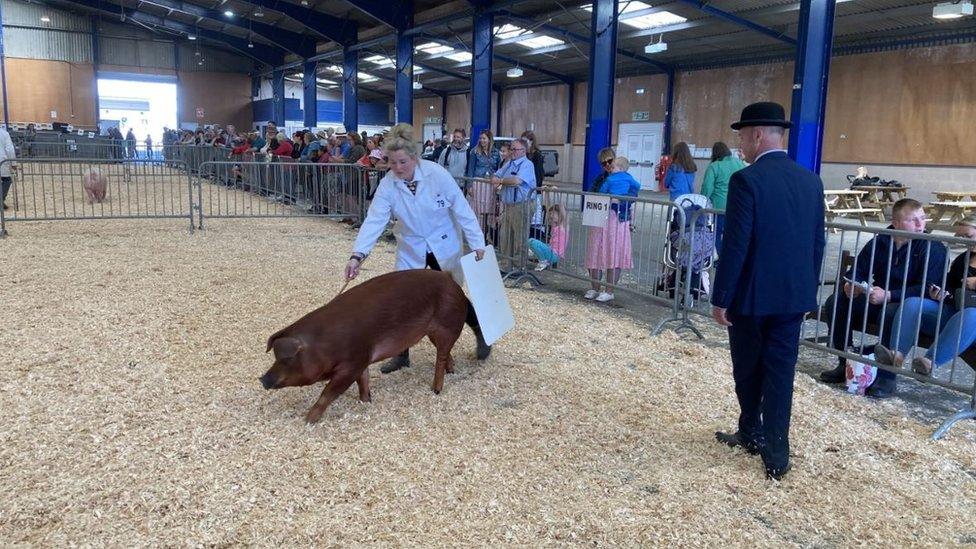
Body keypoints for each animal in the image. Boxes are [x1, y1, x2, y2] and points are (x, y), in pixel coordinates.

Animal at [258, 268, 474, 422]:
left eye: (287, 359)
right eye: (275, 356)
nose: (262, 379)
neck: (323, 346)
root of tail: (452, 282)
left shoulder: (351, 364)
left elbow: (328, 393)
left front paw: (307, 421)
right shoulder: (363, 359)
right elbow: (364, 380)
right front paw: (365, 401)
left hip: (447, 325)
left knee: (441, 356)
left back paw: (436, 390)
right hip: (430, 332)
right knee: (446, 353)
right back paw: (451, 372)